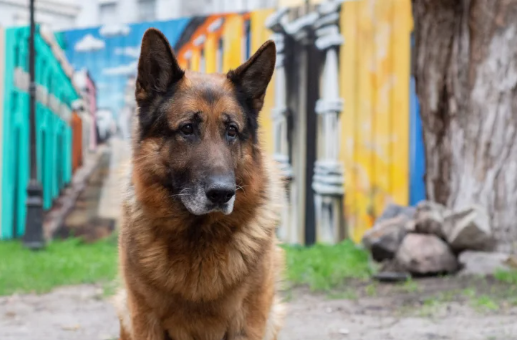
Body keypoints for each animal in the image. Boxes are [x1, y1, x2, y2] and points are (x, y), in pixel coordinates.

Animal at [114, 28, 286, 340]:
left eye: (232, 131)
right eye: (187, 129)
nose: (222, 194)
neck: (198, 238)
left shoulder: (249, 322)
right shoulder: (144, 318)